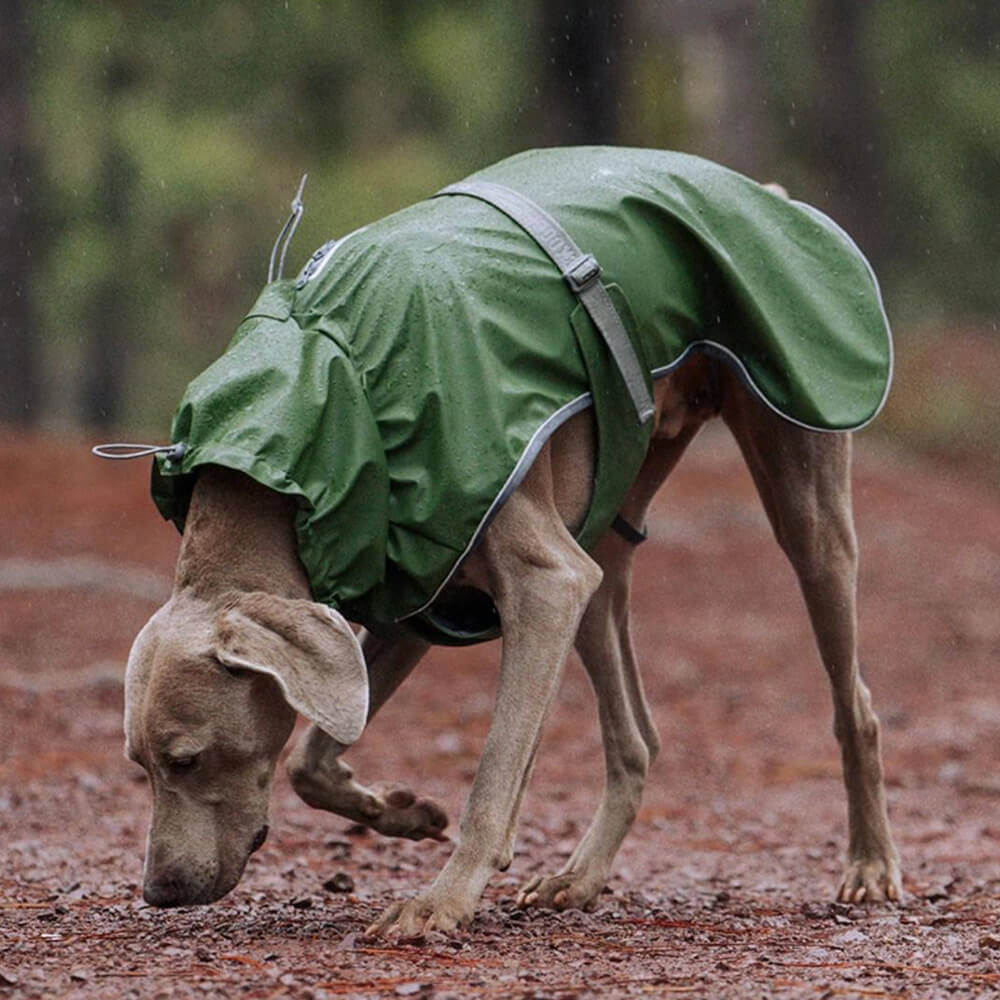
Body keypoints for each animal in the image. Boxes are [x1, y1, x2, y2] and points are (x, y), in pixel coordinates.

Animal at [119, 148, 900, 936]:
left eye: (186, 760)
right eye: (139, 765)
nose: (159, 891)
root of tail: (766, 192)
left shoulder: (544, 583)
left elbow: (494, 771)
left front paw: (440, 900)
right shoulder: (419, 580)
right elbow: (310, 759)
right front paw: (402, 811)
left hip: (804, 498)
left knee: (854, 705)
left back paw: (870, 864)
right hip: (603, 540)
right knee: (636, 738)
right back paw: (581, 875)